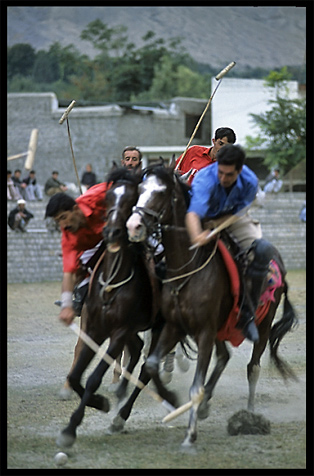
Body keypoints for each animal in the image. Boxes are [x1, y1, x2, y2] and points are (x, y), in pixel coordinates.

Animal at [56, 169, 163, 448]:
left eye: (132, 199)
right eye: (109, 198)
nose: (113, 231)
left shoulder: (118, 331)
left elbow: (94, 377)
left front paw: (71, 427)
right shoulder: (95, 328)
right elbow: (76, 376)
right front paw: (99, 402)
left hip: (161, 327)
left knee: (147, 368)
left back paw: (120, 417)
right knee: (136, 350)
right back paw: (120, 391)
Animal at [126, 164, 298, 446]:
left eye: (161, 192)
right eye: (140, 188)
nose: (133, 225)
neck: (187, 267)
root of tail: (280, 265)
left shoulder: (204, 331)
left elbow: (196, 384)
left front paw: (190, 434)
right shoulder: (176, 326)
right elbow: (150, 364)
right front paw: (173, 400)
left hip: (262, 326)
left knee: (253, 367)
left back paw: (249, 415)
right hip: (221, 328)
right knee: (224, 357)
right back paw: (207, 405)